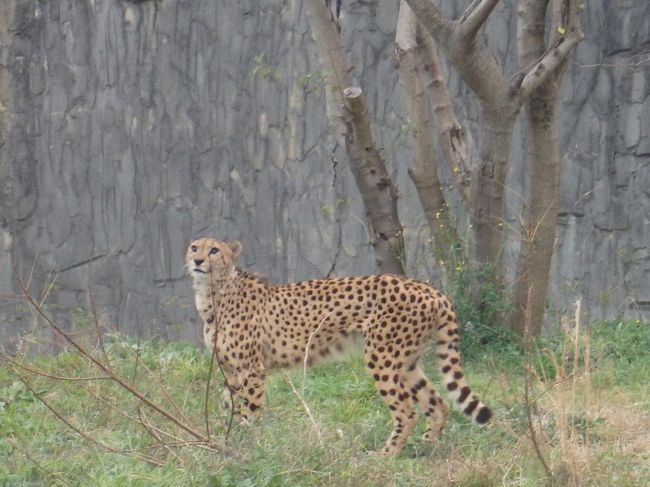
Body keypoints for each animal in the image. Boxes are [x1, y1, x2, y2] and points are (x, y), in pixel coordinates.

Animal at [187, 238, 492, 456]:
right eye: (193, 247)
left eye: (214, 250)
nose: (198, 260)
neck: (213, 294)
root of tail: (431, 289)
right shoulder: (231, 371)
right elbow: (229, 404)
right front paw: (227, 440)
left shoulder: (251, 369)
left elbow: (248, 410)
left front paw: (246, 444)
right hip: (406, 362)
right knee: (437, 403)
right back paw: (425, 448)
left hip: (381, 357)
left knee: (406, 411)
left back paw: (386, 455)